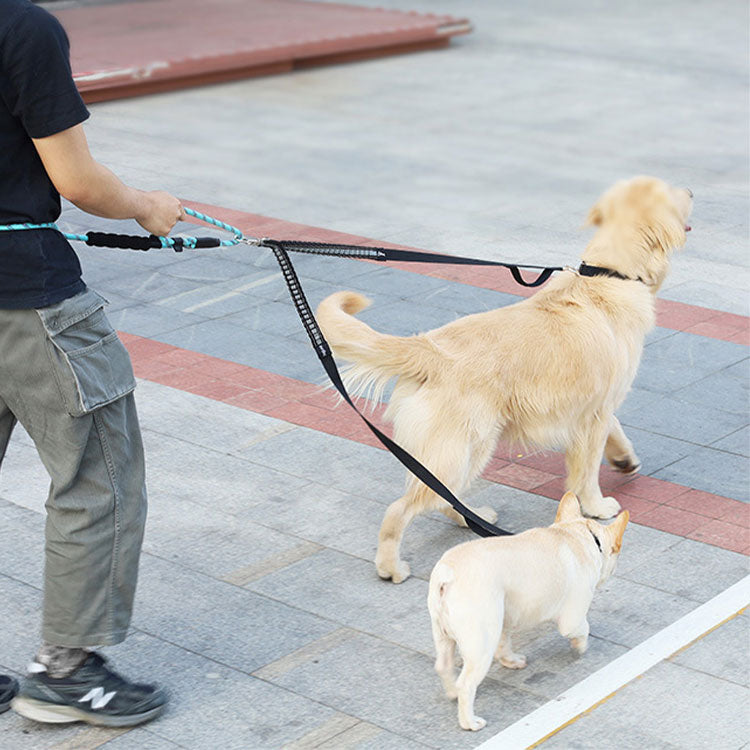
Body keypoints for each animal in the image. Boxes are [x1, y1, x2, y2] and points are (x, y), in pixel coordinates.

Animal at [316, 175, 692, 580]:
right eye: (671, 191)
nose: (690, 191)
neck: (608, 274)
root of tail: (428, 348)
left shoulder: (593, 407)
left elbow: (615, 430)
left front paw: (624, 458)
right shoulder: (595, 412)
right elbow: (587, 468)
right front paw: (596, 506)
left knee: (444, 499)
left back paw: (475, 517)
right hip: (466, 446)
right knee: (405, 506)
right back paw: (391, 566)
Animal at [428, 494, 628, 736]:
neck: (576, 534)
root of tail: (447, 575)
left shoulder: (502, 617)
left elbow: (504, 644)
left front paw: (511, 661)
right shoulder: (571, 619)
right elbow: (583, 628)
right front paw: (580, 647)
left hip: (446, 632)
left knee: (444, 665)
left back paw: (452, 693)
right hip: (480, 644)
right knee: (466, 684)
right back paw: (470, 722)